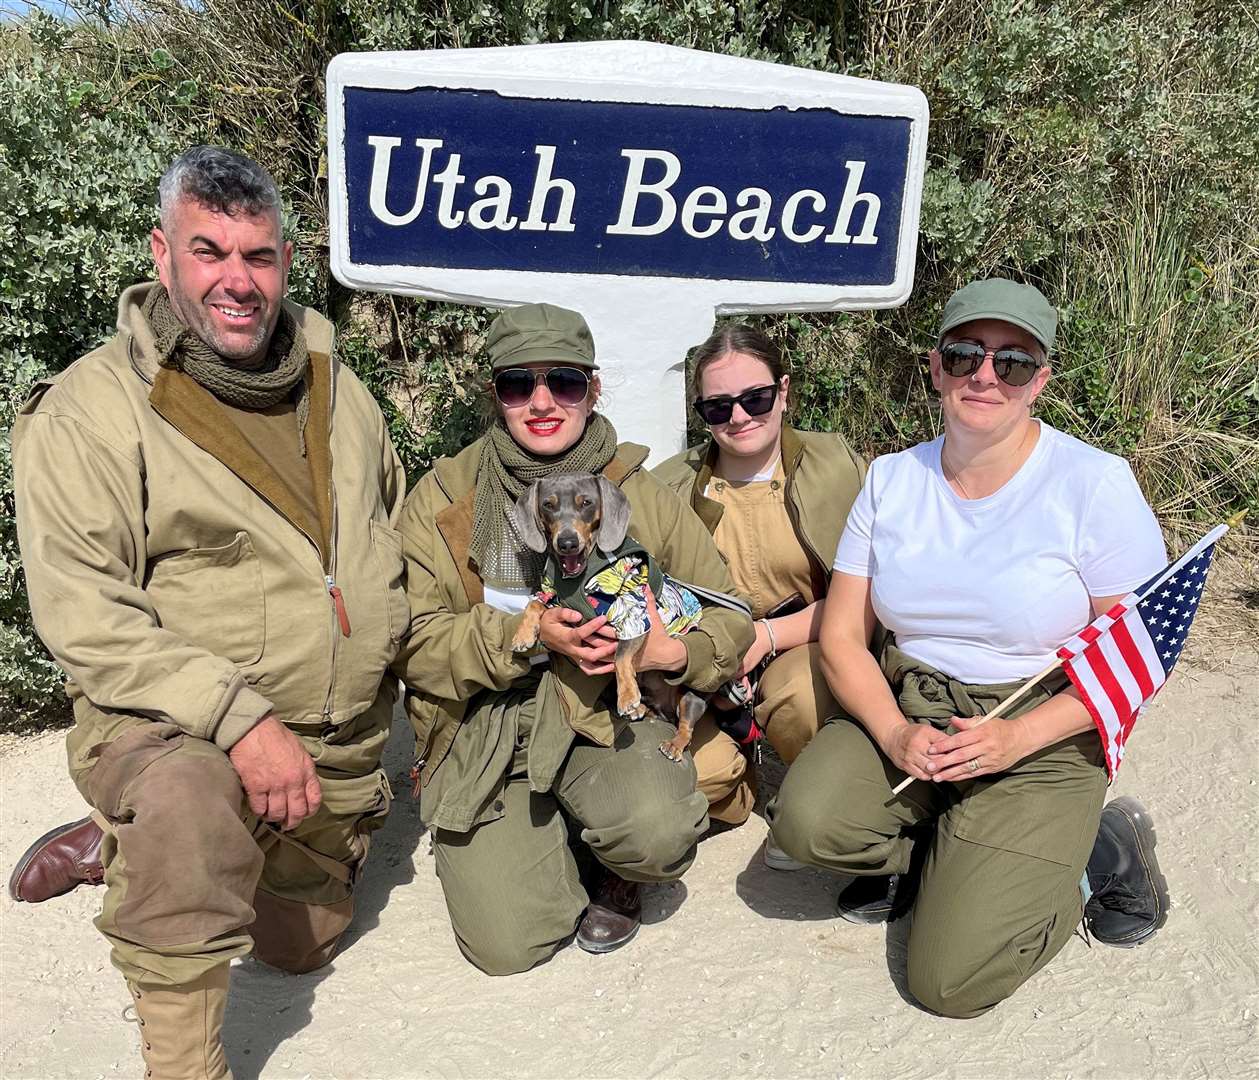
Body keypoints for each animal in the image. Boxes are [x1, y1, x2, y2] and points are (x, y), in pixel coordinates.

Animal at [508, 468, 710, 755]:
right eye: (548, 505)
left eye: (586, 503)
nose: (567, 542)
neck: (578, 577)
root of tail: (666, 710)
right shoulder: (551, 597)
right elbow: (534, 604)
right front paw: (523, 635)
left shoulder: (634, 615)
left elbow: (620, 656)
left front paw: (627, 696)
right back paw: (642, 709)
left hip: (691, 695)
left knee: (687, 725)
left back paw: (673, 743)